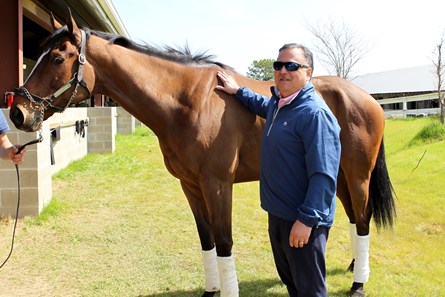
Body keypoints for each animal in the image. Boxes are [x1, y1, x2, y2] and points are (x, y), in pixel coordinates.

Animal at [8, 11, 394, 296]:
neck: (188, 101)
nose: (18, 113)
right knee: (352, 218)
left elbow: (223, 242)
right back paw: (352, 268)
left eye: (57, 58)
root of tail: (368, 99)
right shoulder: (190, 186)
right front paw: (210, 290)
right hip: (337, 176)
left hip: (357, 175)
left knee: (362, 219)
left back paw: (358, 283)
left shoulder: (217, 185)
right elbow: (206, 240)